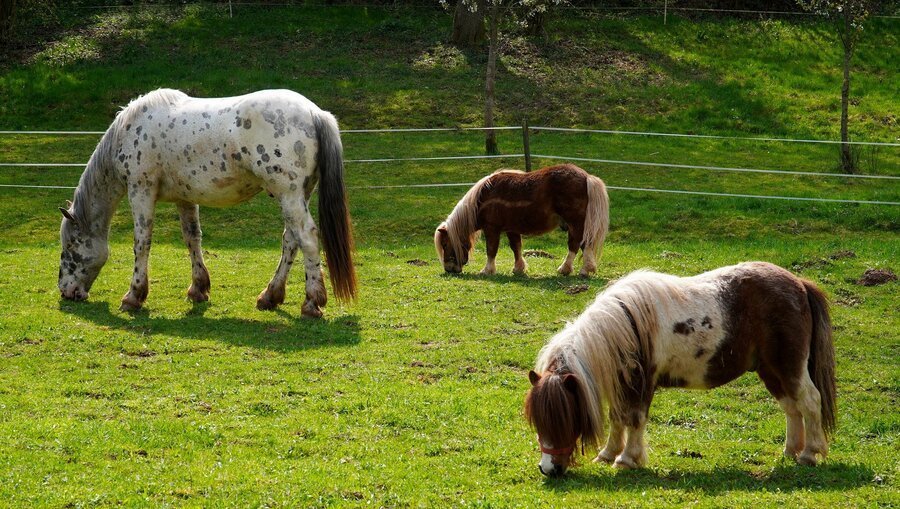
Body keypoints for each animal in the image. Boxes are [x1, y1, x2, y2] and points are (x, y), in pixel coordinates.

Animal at [57, 89, 356, 316]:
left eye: (70, 245)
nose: (65, 291)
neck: (130, 130)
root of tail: (315, 113)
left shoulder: (141, 191)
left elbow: (142, 243)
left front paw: (134, 296)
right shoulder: (184, 198)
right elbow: (192, 238)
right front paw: (198, 289)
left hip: (289, 195)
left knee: (306, 237)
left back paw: (312, 302)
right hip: (297, 195)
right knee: (290, 240)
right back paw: (270, 296)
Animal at [432, 164, 608, 276]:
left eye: (445, 244)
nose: (448, 268)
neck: (483, 198)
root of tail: (587, 177)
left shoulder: (492, 229)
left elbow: (491, 250)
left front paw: (487, 270)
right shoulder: (511, 229)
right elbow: (516, 247)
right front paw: (518, 269)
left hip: (575, 222)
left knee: (576, 244)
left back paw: (571, 269)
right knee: (582, 244)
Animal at [524, 262, 840, 476]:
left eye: (562, 418)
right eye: (539, 421)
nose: (548, 469)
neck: (625, 325)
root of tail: (799, 284)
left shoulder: (641, 383)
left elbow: (634, 419)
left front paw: (626, 459)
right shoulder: (622, 382)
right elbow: (617, 418)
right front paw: (607, 454)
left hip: (789, 367)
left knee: (809, 402)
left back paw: (809, 454)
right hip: (771, 371)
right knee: (792, 408)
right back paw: (789, 452)